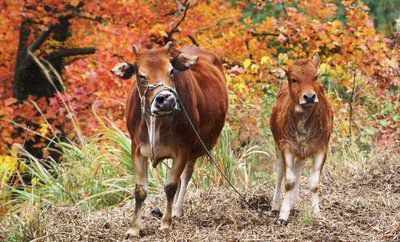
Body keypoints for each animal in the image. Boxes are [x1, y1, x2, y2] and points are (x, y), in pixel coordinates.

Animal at [111, 42, 228, 237]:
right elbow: (140, 190)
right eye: (141, 76)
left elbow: (171, 186)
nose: (165, 99)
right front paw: (134, 228)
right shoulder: (137, 148)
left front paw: (165, 223)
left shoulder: (183, 149)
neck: (155, 122)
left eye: (171, 71)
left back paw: (176, 211)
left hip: (196, 148)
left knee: (185, 176)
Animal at [268, 53, 334, 225]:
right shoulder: (286, 146)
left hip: (302, 152)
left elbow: (314, 183)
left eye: (315, 76)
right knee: (279, 174)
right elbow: (288, 181)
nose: (309, 96)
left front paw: (316, 212)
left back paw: (293, 201)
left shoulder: (322, 147)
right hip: (277, 146)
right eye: (293, 79)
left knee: (299, 168)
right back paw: (276, 205)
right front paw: (283, 215)